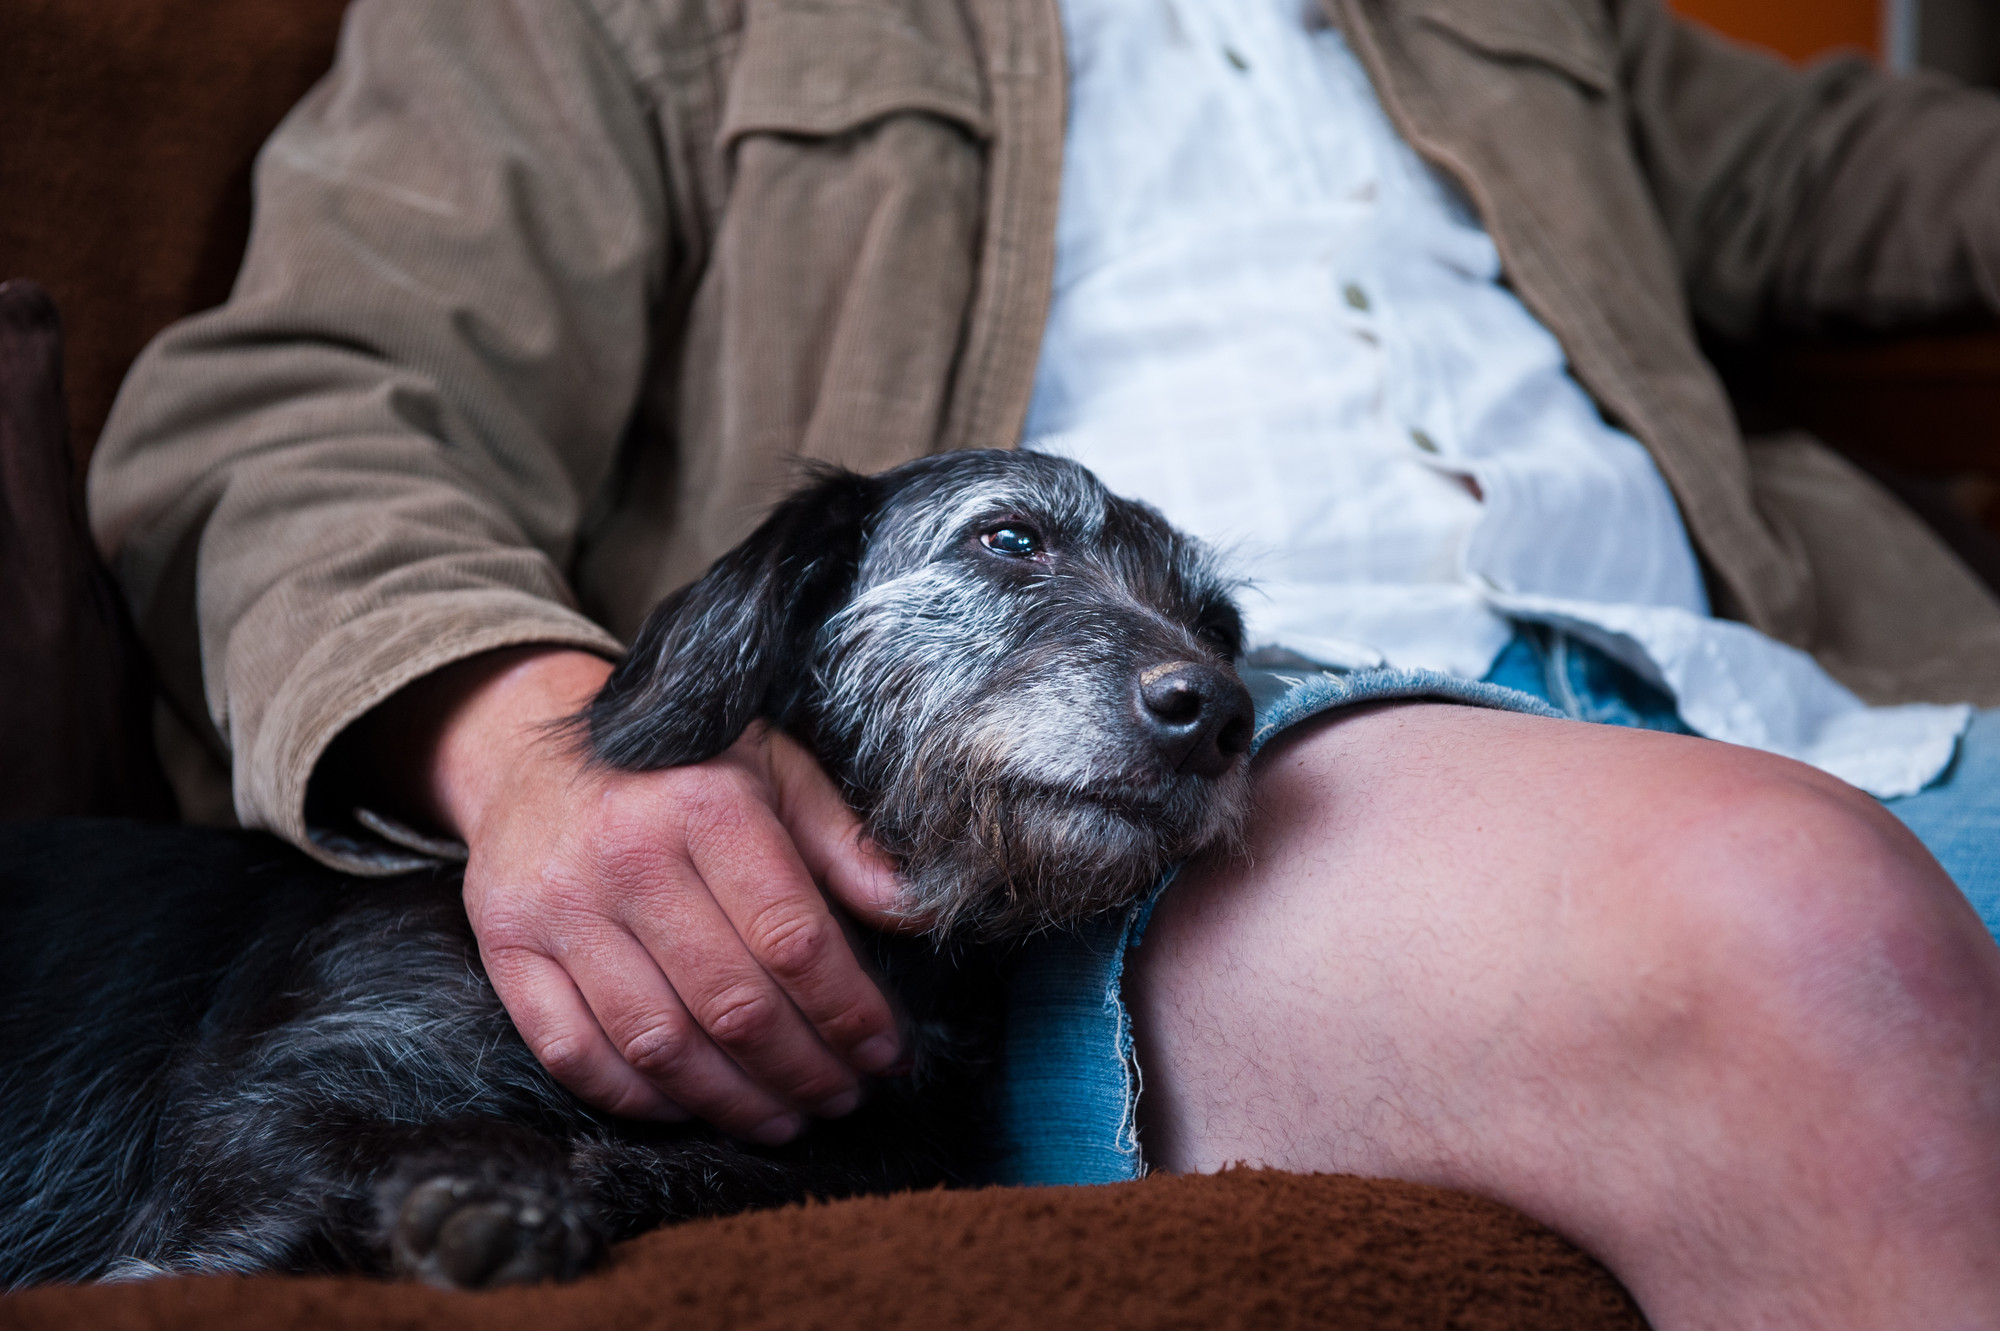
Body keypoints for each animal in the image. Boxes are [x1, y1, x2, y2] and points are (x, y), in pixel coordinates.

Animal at [0, 445, 1248, 1287]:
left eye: (1220, 625)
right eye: (1009, 538)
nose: (1220, 713)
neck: (890, 958)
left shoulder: (851, 1160)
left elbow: (695, 1169)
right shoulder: (256, 1115)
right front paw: (492, 1189)